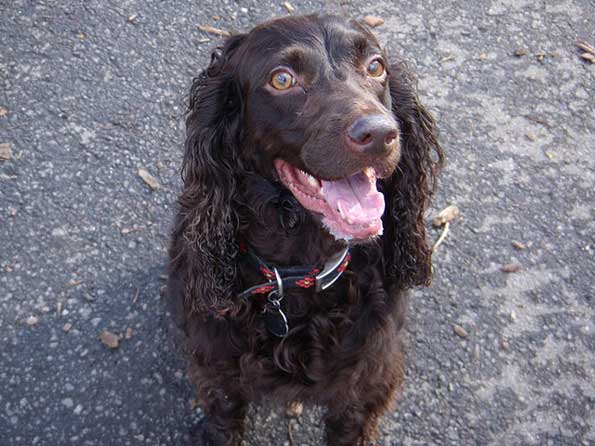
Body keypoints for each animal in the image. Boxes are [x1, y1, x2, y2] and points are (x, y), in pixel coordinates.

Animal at [168, 13, 442, 446]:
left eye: (376, 67)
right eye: (282, 79)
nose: (380, 134)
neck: (298, 274)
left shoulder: (366, 386)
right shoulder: (217, 377)